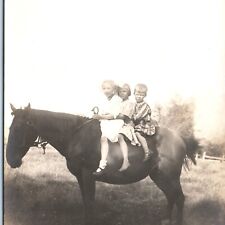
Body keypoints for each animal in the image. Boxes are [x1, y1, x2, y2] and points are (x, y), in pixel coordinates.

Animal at [6, 103, 198, 225]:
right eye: (10, 128)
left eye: (18, 128)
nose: (10, 160)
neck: (75, 135)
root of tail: (180, 138)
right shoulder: (80, 177)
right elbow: (86, 201)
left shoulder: (87, 175)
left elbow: (90, 202)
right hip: (159, 176)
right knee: (171, 197)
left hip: (170, 177)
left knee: (179, 198)